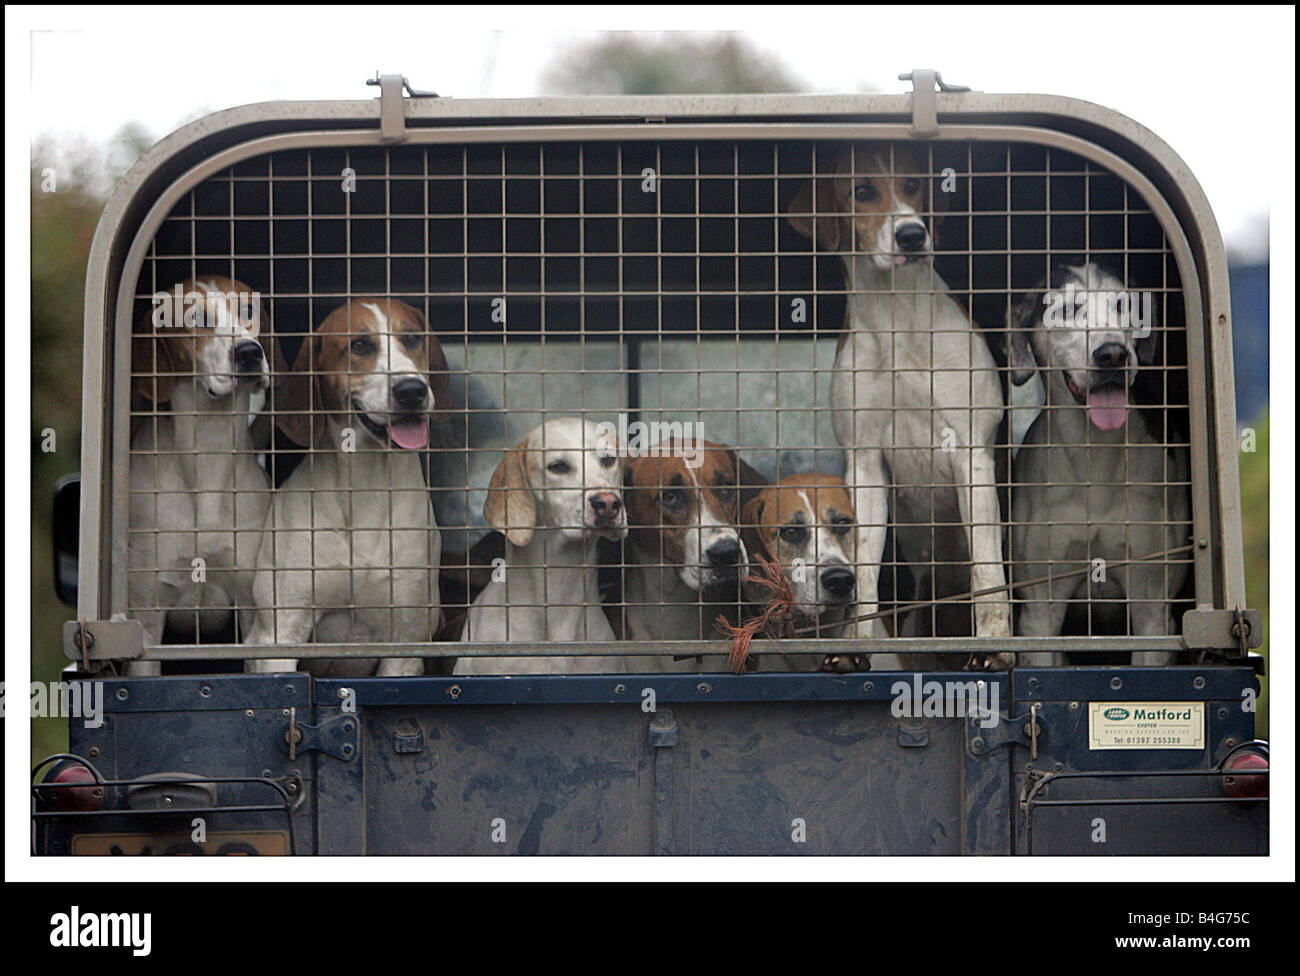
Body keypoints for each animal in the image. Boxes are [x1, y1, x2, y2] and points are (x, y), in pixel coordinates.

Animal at [244, 300, 447, 680]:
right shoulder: (279, 634)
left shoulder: (405, 643)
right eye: (360, 345)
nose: (411, 389)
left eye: (412, 338)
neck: (363, 486)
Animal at [785, 141, 1008, 670]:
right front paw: (853, 646)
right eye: (862, 191)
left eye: (913, 185)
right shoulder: (864, 463)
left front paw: (995, 647)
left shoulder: (971, 451)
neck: (896, 317)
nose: (912, 234)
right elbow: (863, 565)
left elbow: (988, 569)